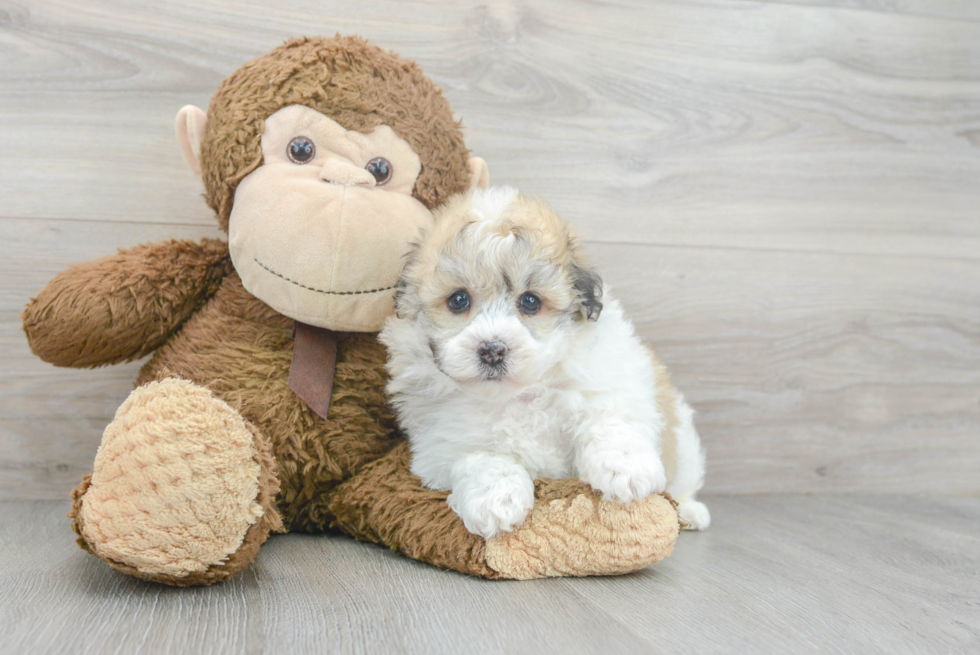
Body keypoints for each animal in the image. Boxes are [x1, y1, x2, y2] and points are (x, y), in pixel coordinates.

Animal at [378, 188, 708, 540]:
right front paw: (496, 500)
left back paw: (689, 511)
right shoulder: (441, 440)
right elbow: (481, 458)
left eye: (530, 301)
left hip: (685, 444)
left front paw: (625, 469)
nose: (492, 350)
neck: (518, 394)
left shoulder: (611, 379)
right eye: (458, 300)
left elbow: (609, 419)